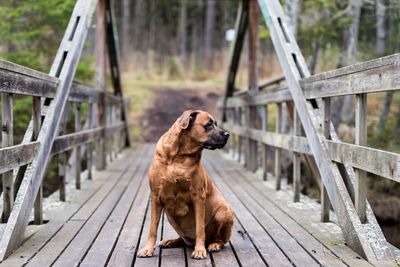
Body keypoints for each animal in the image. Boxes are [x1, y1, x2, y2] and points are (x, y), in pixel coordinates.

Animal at [138, 110, 233, 260]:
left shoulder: (198, 196)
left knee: (221, 239)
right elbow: (152, 228)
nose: (227, 134)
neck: (179, 156)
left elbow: (200, 228)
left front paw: (200, 250)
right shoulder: (155, 197)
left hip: (224, 212)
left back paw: (214, 244)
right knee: (183, 239)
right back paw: (170, 241)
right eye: (209, 124)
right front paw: (148, 249)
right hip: (170, 217)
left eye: (215, 123)